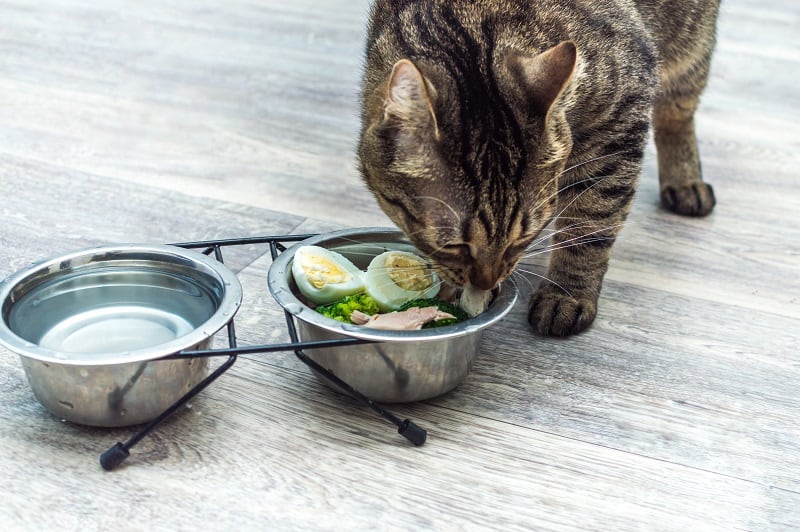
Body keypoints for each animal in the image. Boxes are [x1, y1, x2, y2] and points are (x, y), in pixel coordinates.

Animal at [360, 0, 720, 336]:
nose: (488, 280)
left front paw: (566, 294)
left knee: (678, 110)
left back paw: (686, 183)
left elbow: (591, 221)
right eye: (452, 245)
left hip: (689, 44)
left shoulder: (621, 117)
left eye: (524, 237)